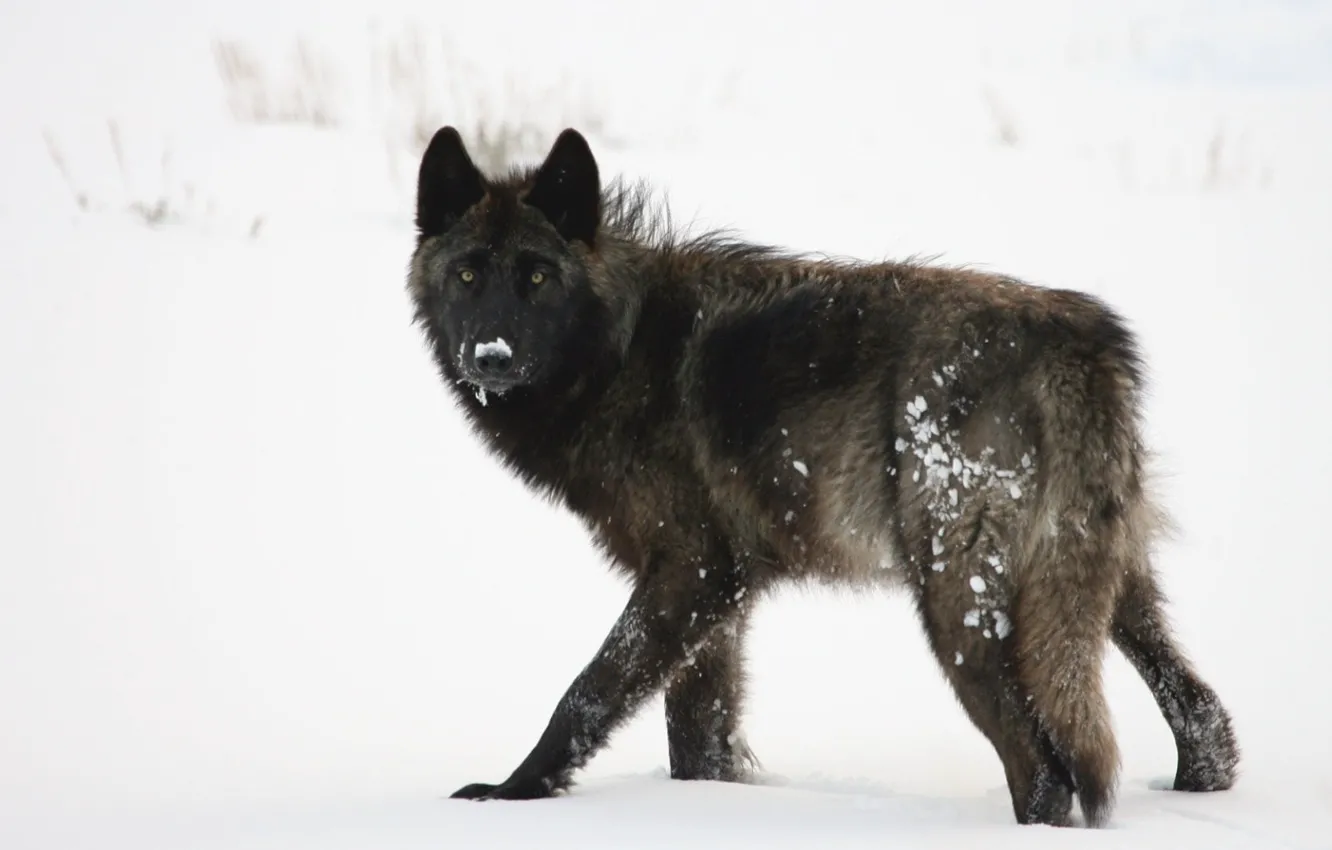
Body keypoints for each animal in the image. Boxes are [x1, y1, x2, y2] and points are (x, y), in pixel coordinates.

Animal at [405, 126, 1239, 827]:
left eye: (538, 277)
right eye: (469, 273)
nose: (491, 356)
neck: (618, 350)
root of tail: (1076, 341)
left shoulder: (690, 572)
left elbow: (587, 693)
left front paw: (510, 793)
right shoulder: (721, 598)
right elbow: (696, 738)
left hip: (959, 608)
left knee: (1044, 768)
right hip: (1102, 587)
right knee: (1203, 716)